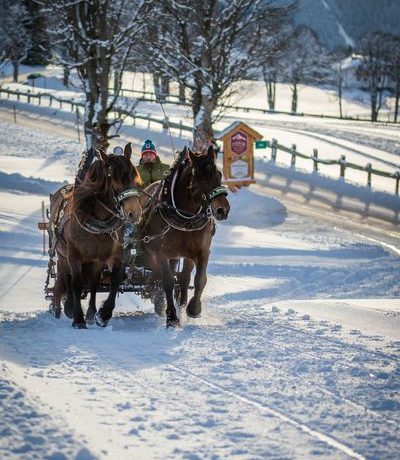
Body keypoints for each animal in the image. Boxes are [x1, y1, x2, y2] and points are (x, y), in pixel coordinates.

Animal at [140, 146, 228, 328]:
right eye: (199, 177)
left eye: (219, 173)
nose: (222, 209)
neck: (185, 217)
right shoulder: (161, 253)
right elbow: (167, 281)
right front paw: (171, 317)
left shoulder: (202, 252)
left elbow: (200, 279)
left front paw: (193, 309)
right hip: (152, 253)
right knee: (158, 278)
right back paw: (161, 303)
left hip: (185, 255)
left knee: (184, 279)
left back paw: (180, 305)